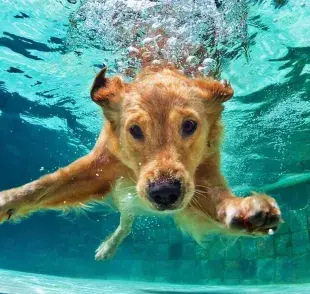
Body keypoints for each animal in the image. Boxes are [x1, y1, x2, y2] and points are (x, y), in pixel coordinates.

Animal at [0, 64, 282, 260]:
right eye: (135, 130)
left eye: (189, 125)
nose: (165, 193)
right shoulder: (100, 167)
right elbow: (42, 186)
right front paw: (8, 201)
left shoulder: (202, 176)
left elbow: (221, 201)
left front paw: (246, 211)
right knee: (126, 221)